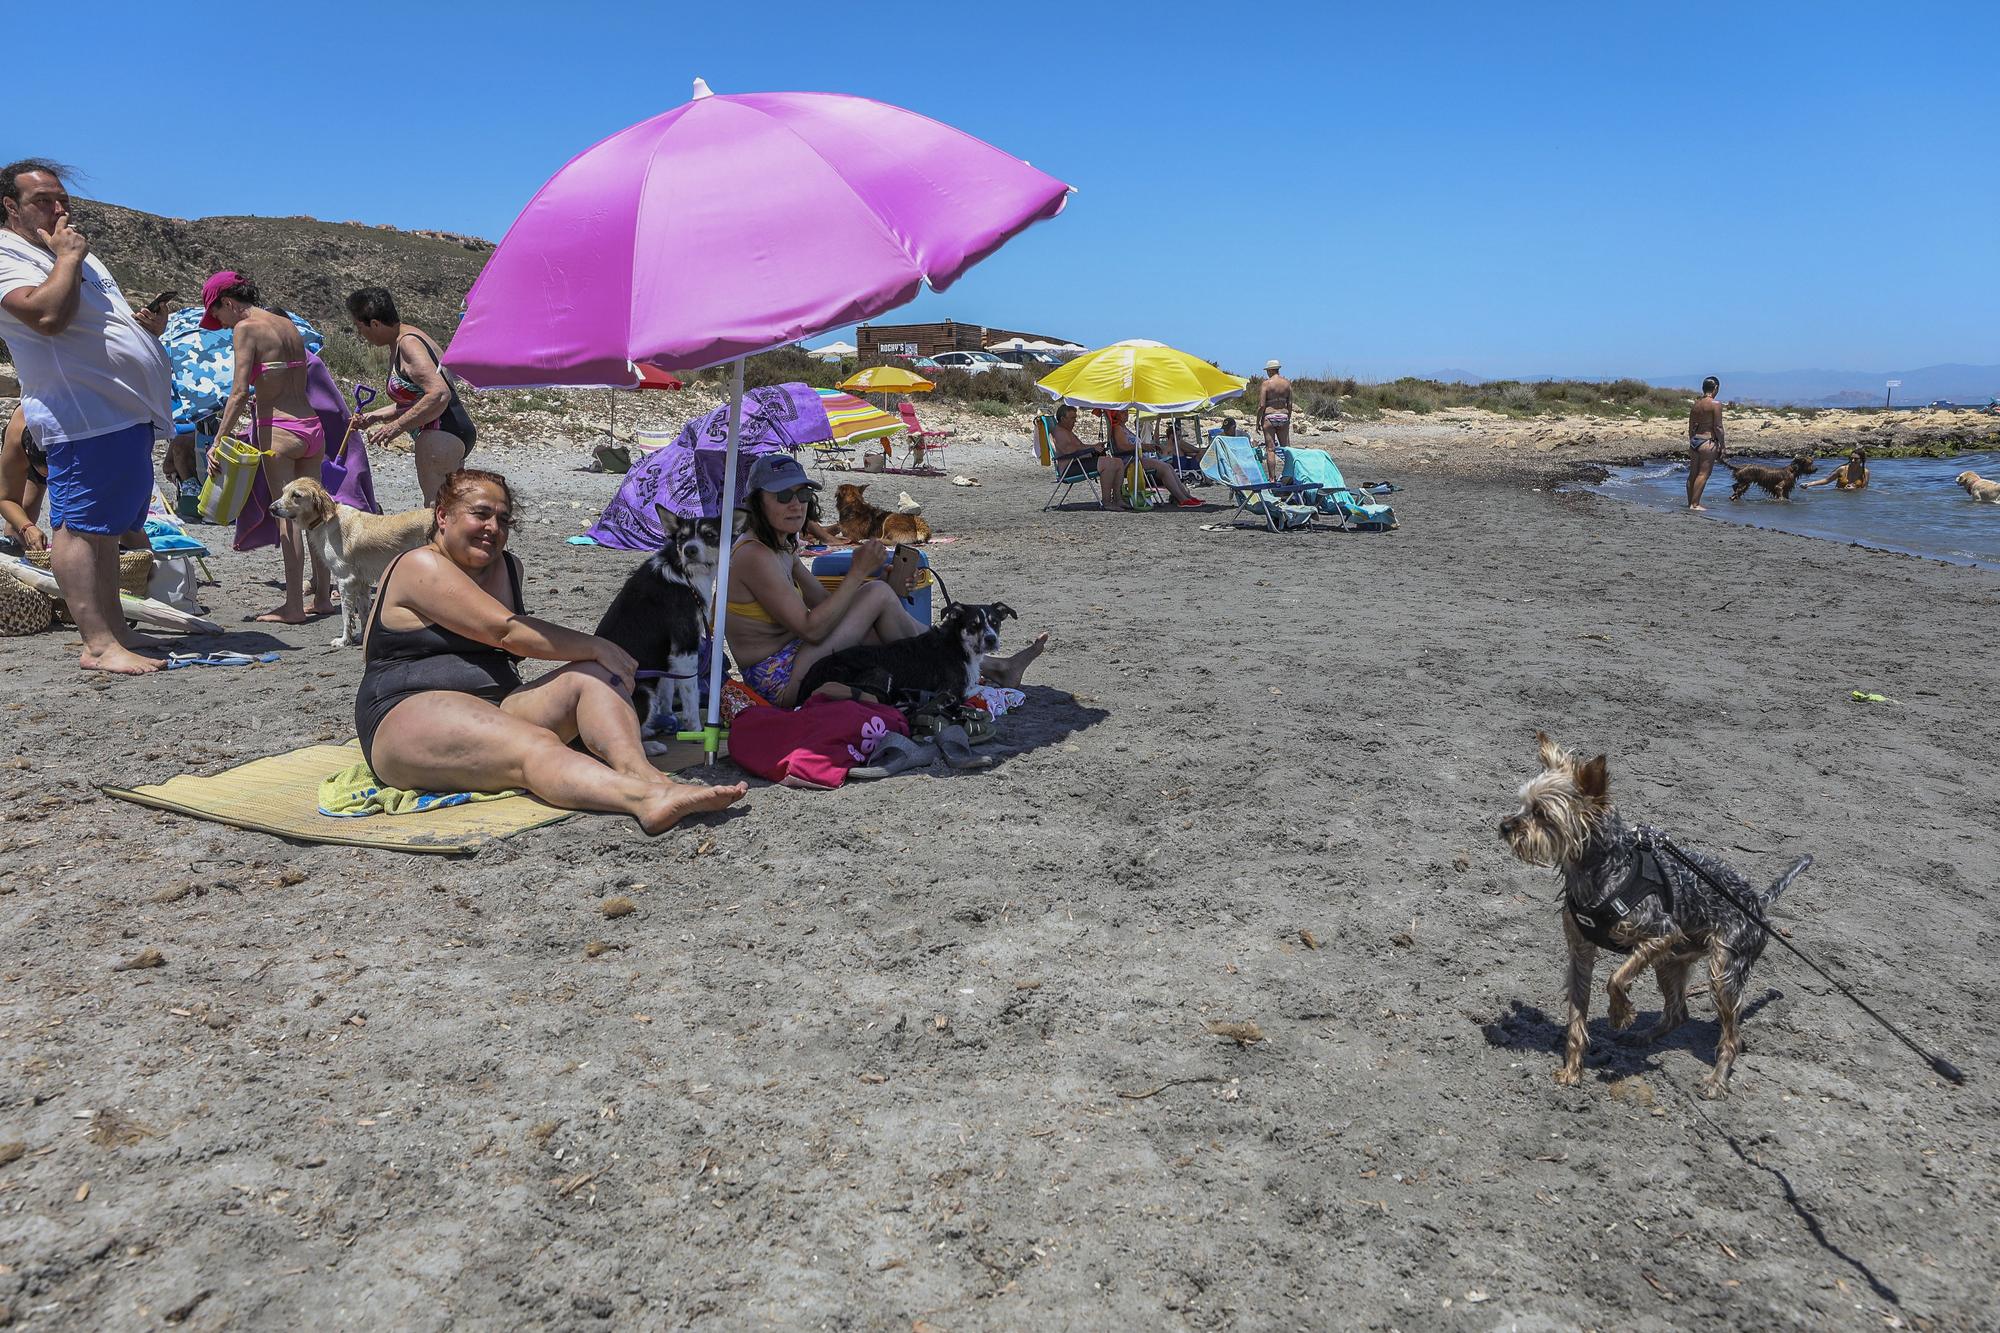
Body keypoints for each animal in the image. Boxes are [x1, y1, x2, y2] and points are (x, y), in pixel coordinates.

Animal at [270, 474, 434, 644]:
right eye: (283, 491)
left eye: (296, 495)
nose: (271, 508)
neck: (325, 521)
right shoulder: (361, 582)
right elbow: (363, 613)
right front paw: (362, 637)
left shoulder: (345, 580)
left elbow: (346, 615)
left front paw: (344, 640)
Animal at [588, 506, 724, 740]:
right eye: (682, 538)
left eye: (709, 535)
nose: (689, 550)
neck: (683, 572)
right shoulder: (685, 648)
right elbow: (691, 695)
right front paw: (696, 730)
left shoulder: (668, 658)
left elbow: (667, 694)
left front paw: (670, 719)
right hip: (643, 691)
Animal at [792, 600, 1016, 704]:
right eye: (973, 625)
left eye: (995, 623)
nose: (991, 639)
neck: (958, 645)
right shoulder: (949, 691)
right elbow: (984, 689)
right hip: (880, 674)